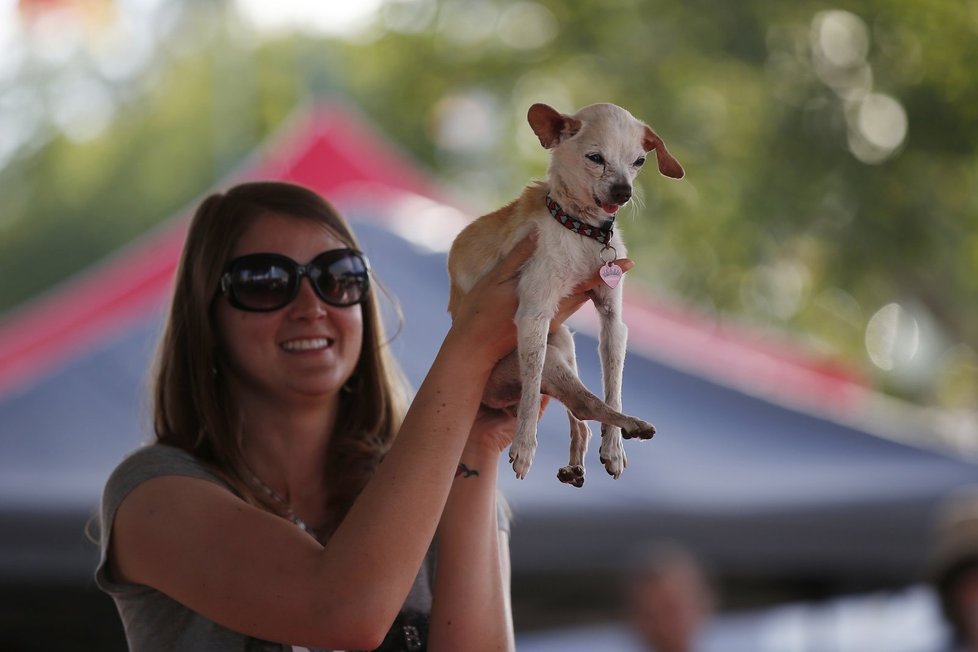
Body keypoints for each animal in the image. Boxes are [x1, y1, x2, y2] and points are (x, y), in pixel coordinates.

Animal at [446, 103, 684, 484]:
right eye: (595, 158)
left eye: (638, 162)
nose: (624, 192)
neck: (583, 231)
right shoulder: (535, 316)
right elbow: (531, 396)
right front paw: (524, 446)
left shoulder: (613, 323)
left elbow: (613, 386)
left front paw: (613, 448)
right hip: (548, 356)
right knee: (580, 403)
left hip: (564, 345)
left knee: (583, 414)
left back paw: (588, 456)